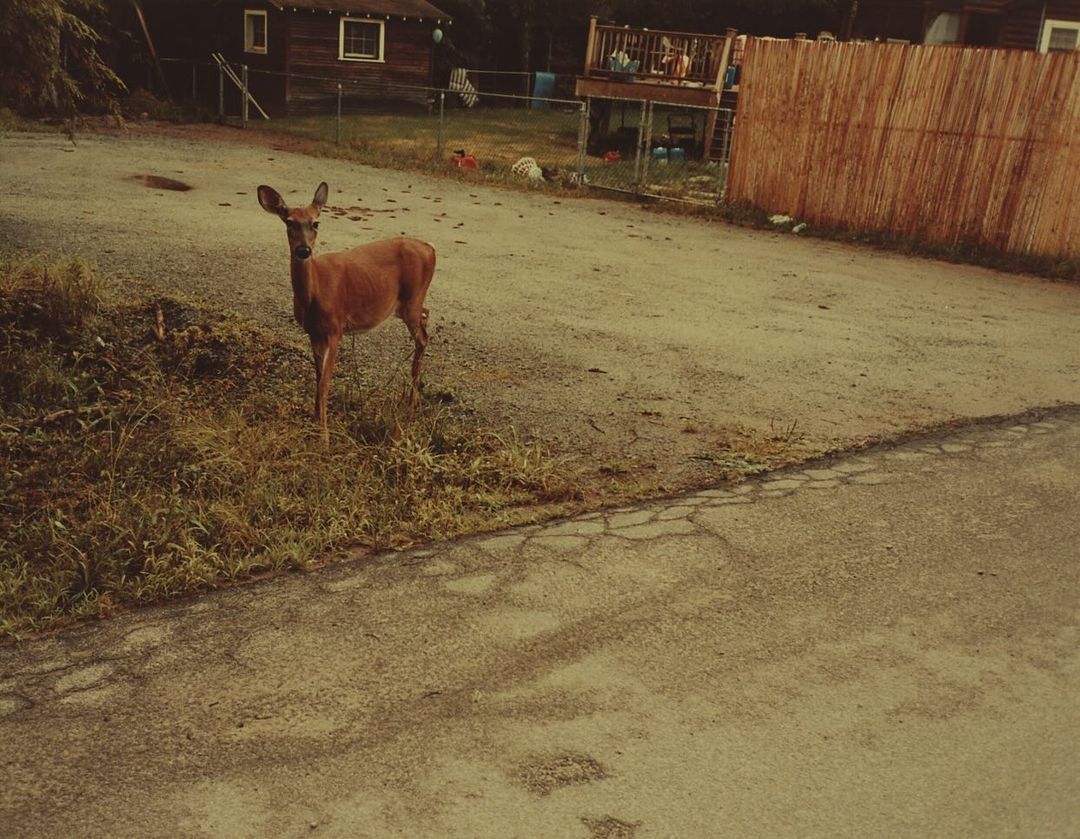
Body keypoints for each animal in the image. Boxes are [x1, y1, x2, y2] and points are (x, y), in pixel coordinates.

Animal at [257, 182, 436, 445]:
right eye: (288, 222)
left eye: (316, 223)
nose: (303, 250)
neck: (315, 291)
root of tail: (430, 248)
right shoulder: (313, 332)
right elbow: (317, 377)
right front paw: (314, 421)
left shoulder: (336, 328)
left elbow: (325, 382)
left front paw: (324, 437)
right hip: (409, 304)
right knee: (426, 315)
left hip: (411, 300)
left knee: (423, 337)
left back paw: (411, 405)